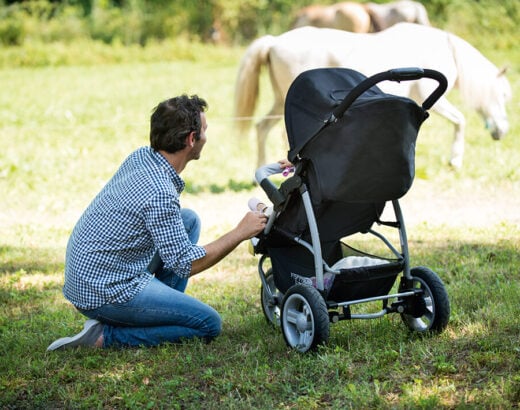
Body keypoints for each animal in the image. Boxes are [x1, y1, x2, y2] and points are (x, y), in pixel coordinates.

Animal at [236, 22, 512, 170]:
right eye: (502, 95)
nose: (502, 132)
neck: (444, 49)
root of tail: (274, 42)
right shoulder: (436, 100)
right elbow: (460, 121)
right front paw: (455, 160)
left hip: (280, 101)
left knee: (261, 128)